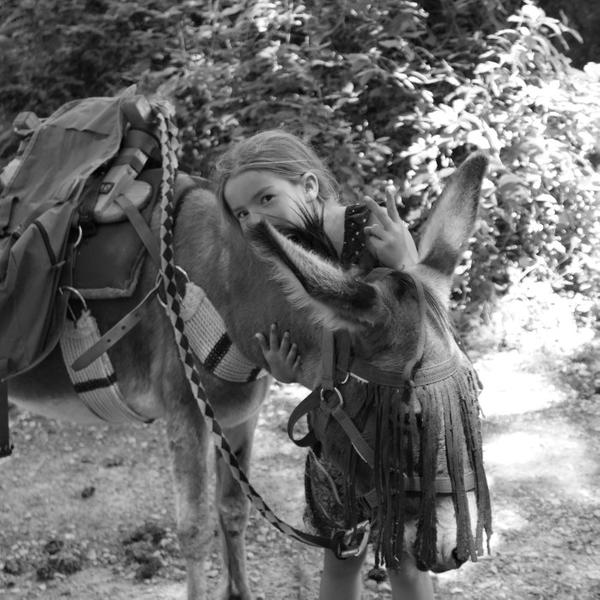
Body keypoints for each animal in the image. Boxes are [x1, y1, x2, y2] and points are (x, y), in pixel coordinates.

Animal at [7, 151, 491, 599]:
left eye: (474, 400)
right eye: (410, 417)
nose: (454, 552)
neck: (228, 288)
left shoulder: (240, 414)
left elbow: (233, 509)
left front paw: (238, 591)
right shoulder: (185, 412)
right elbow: (194, 529)